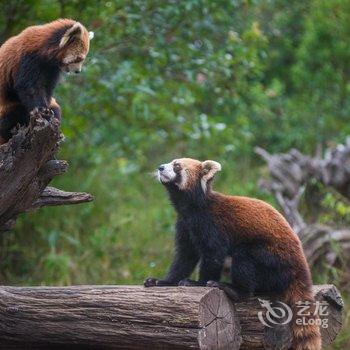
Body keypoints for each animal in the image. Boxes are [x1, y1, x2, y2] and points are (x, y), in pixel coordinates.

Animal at [145, 158, 322, 350]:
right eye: (170, 162)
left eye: (176, 165)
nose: (160, 167)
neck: (191, 208)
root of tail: (301, 263)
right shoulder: (185, 225)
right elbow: (184, 257)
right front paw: (162, 281)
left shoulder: (211, 224)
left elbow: (213, 255)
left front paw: (197, 283)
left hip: (274, 258)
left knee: (244, 257)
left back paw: (234, 289)